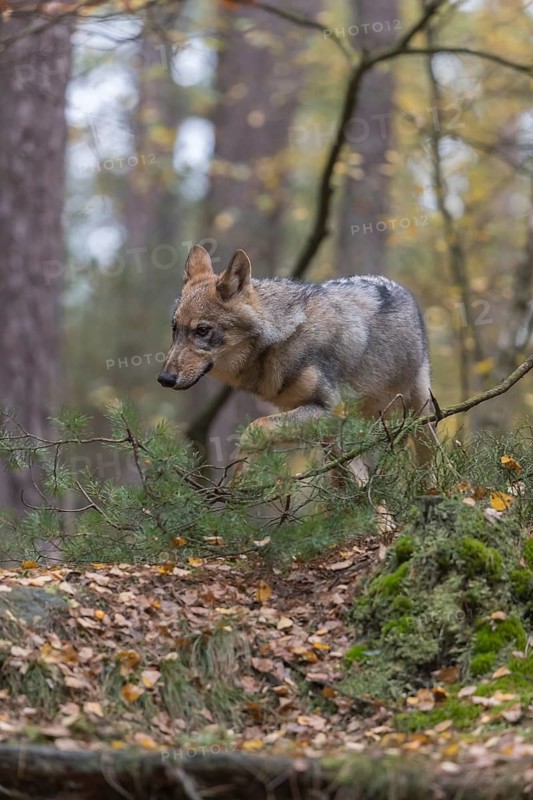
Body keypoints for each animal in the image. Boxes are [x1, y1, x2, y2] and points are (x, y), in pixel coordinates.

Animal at [158, 244, 434, 461]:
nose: (164, 379)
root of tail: (399, 287)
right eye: (174, 329)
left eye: (202, 331)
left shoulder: (332, 411)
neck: (282, 338)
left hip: (421, 417)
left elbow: (254, 428)